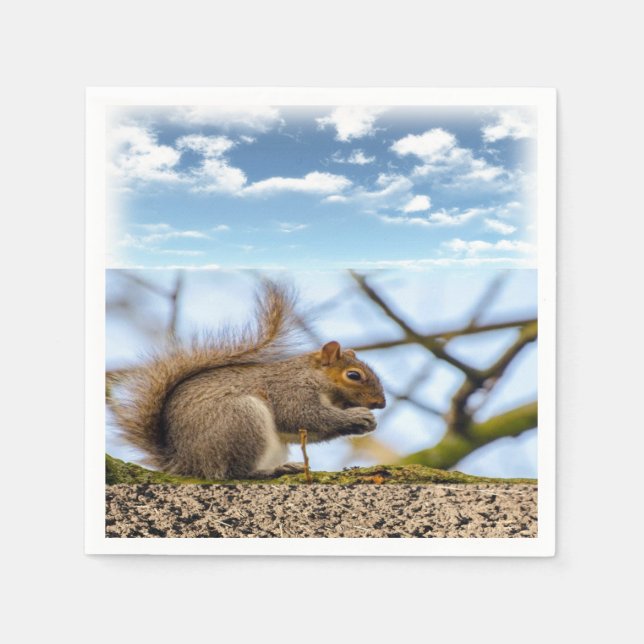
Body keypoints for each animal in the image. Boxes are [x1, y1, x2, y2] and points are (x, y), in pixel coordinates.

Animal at [110, 280, 386, 480]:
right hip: (240, 420)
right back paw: (271, 470)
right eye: (353, 375)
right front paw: (358, 417)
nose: (381, 403)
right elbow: (304, 416)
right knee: (234, 472)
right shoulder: (290, 390)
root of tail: (185, 462)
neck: (313, 377)